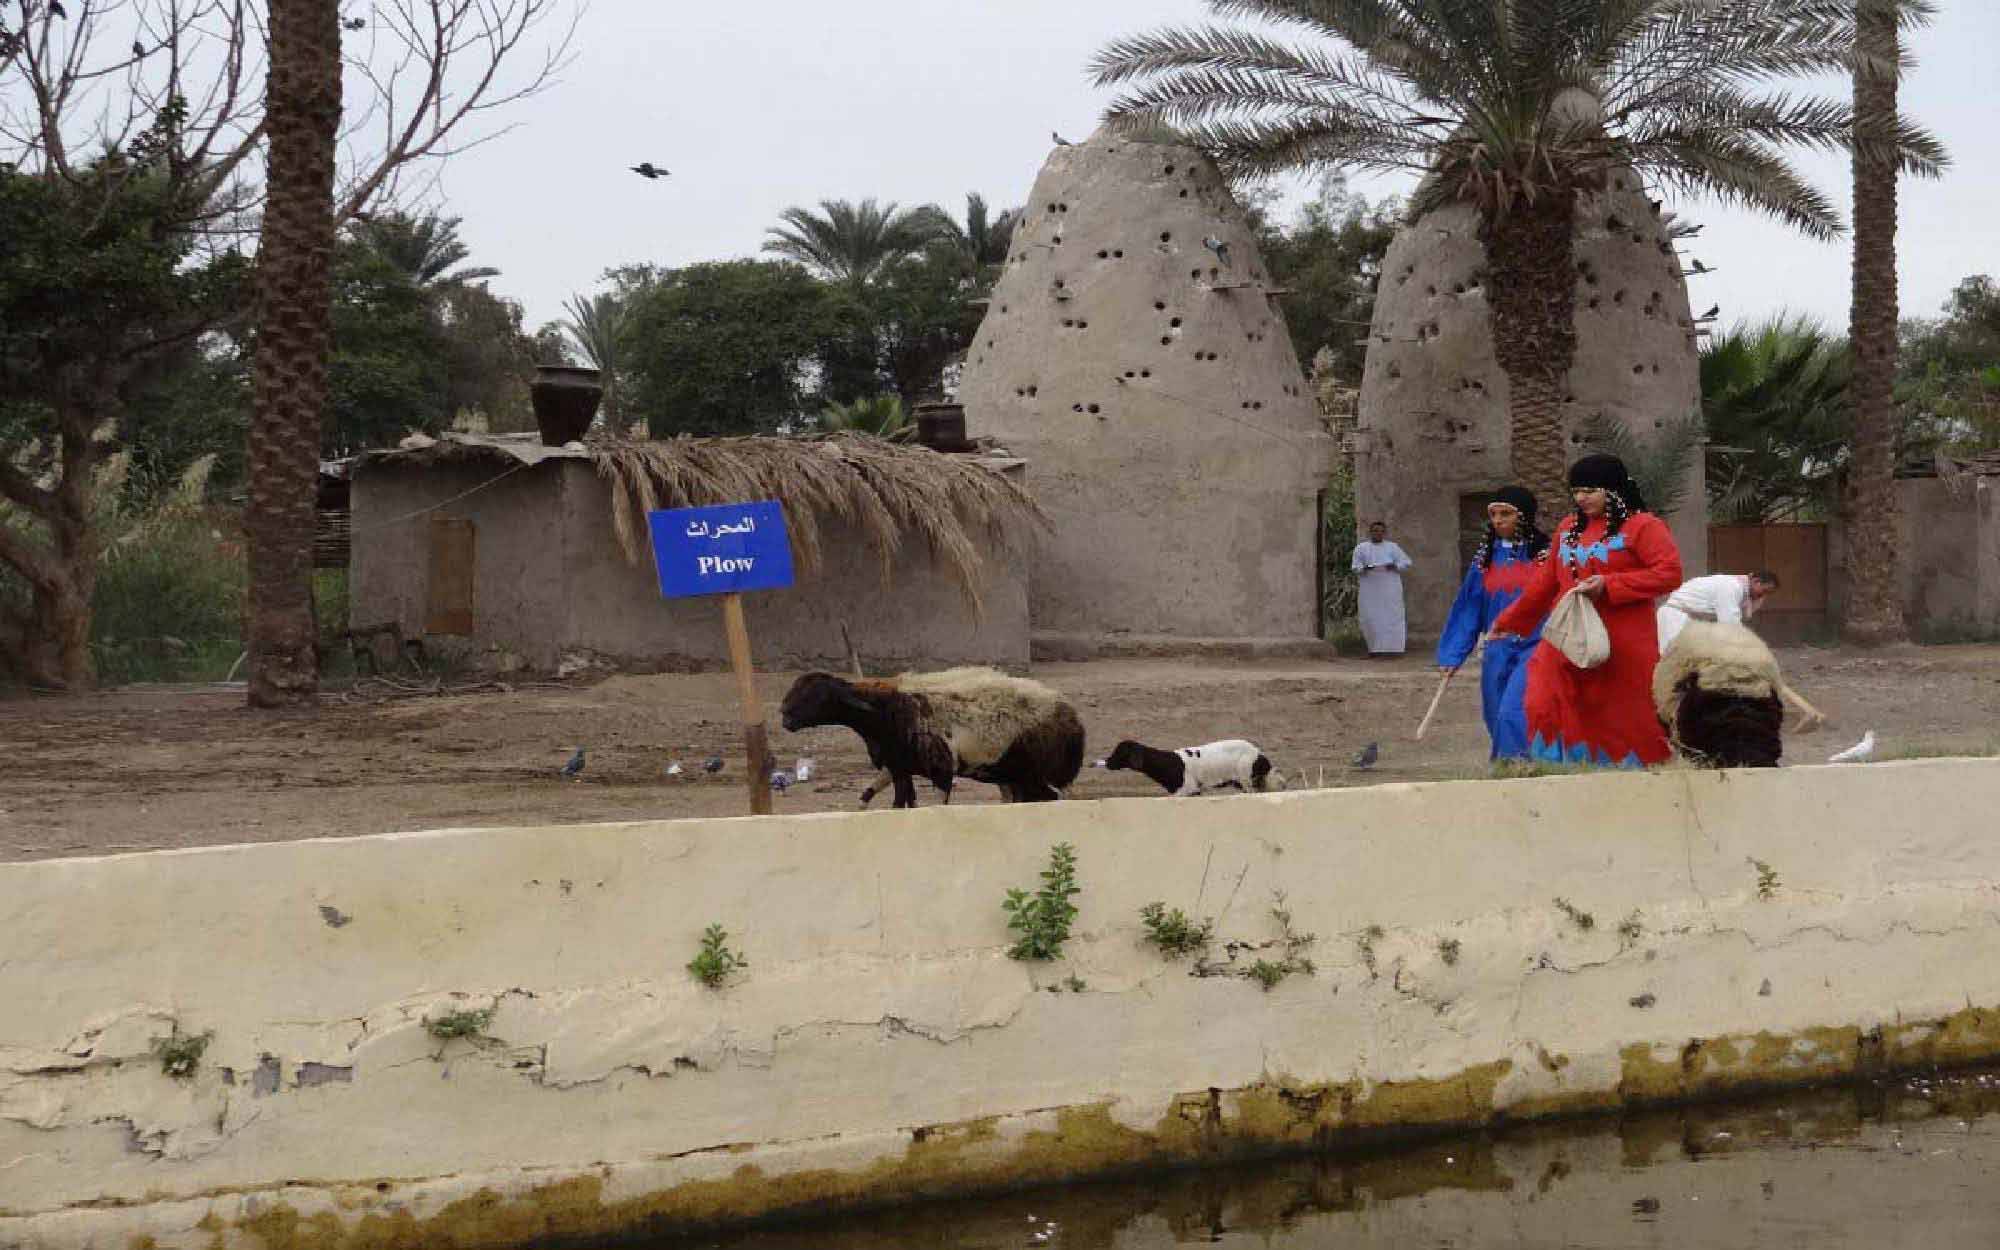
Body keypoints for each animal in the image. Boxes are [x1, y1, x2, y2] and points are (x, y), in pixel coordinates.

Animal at [784, 664, 1096, 808]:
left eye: (817, 695)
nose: (785, 717)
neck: (884, 711)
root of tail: (1073, 718)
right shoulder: (899, 768)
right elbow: (899, 805)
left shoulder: (941, 771)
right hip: (1016, 777)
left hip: (1041, 775)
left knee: (1053, 799)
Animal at [1096, 736, 1280, 796]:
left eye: (1120, 752)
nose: (1107, 762)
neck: (1169, 762)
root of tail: (1261, 755)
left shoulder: (1187, 790)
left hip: (1246, 780)